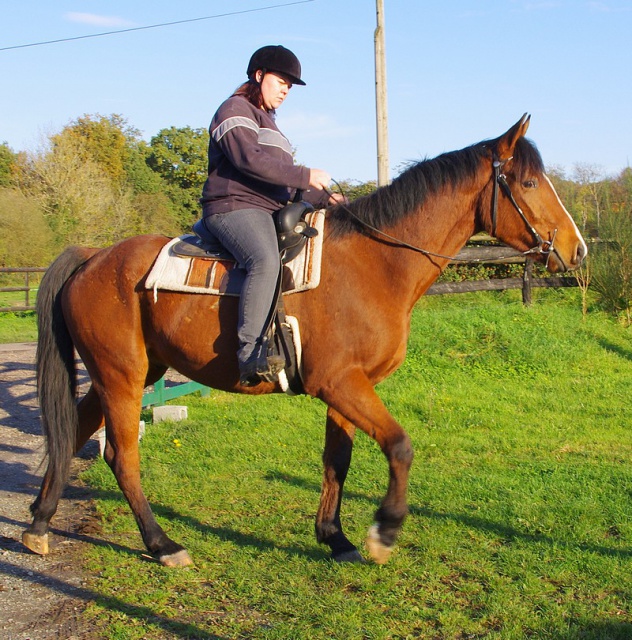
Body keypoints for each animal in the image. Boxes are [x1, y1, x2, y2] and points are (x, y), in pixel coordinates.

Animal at [23, 115, 588, 564]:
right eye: (530, 182)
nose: (576, 249)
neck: (375, 263)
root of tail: (93, 256)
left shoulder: (350, 386)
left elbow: (338, 459)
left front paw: (335, 537)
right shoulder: (338, 383)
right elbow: (400, 445)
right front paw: (384, 531)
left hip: (127, 372)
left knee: (74, 431)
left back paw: (38, 523)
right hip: (122, 375)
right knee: (122, 456)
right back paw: (162, 545)